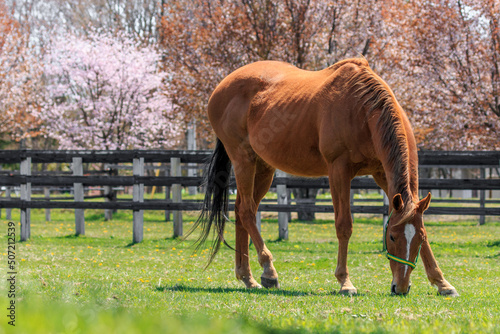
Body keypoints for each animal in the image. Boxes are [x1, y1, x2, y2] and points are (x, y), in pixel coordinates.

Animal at [193, 58, 458, 296]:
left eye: (419, 239)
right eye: (391, 237)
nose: (401, 288)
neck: (362, 110)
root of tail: (221, 87)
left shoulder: (382, 174)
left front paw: (442, 282)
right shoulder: (338, 170)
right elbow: (344, 225)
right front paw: (345, 282)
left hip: (264, 167)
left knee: (240, 210)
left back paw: (248, 278)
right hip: (243, 160)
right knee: (247, 211)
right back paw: (269, 271)